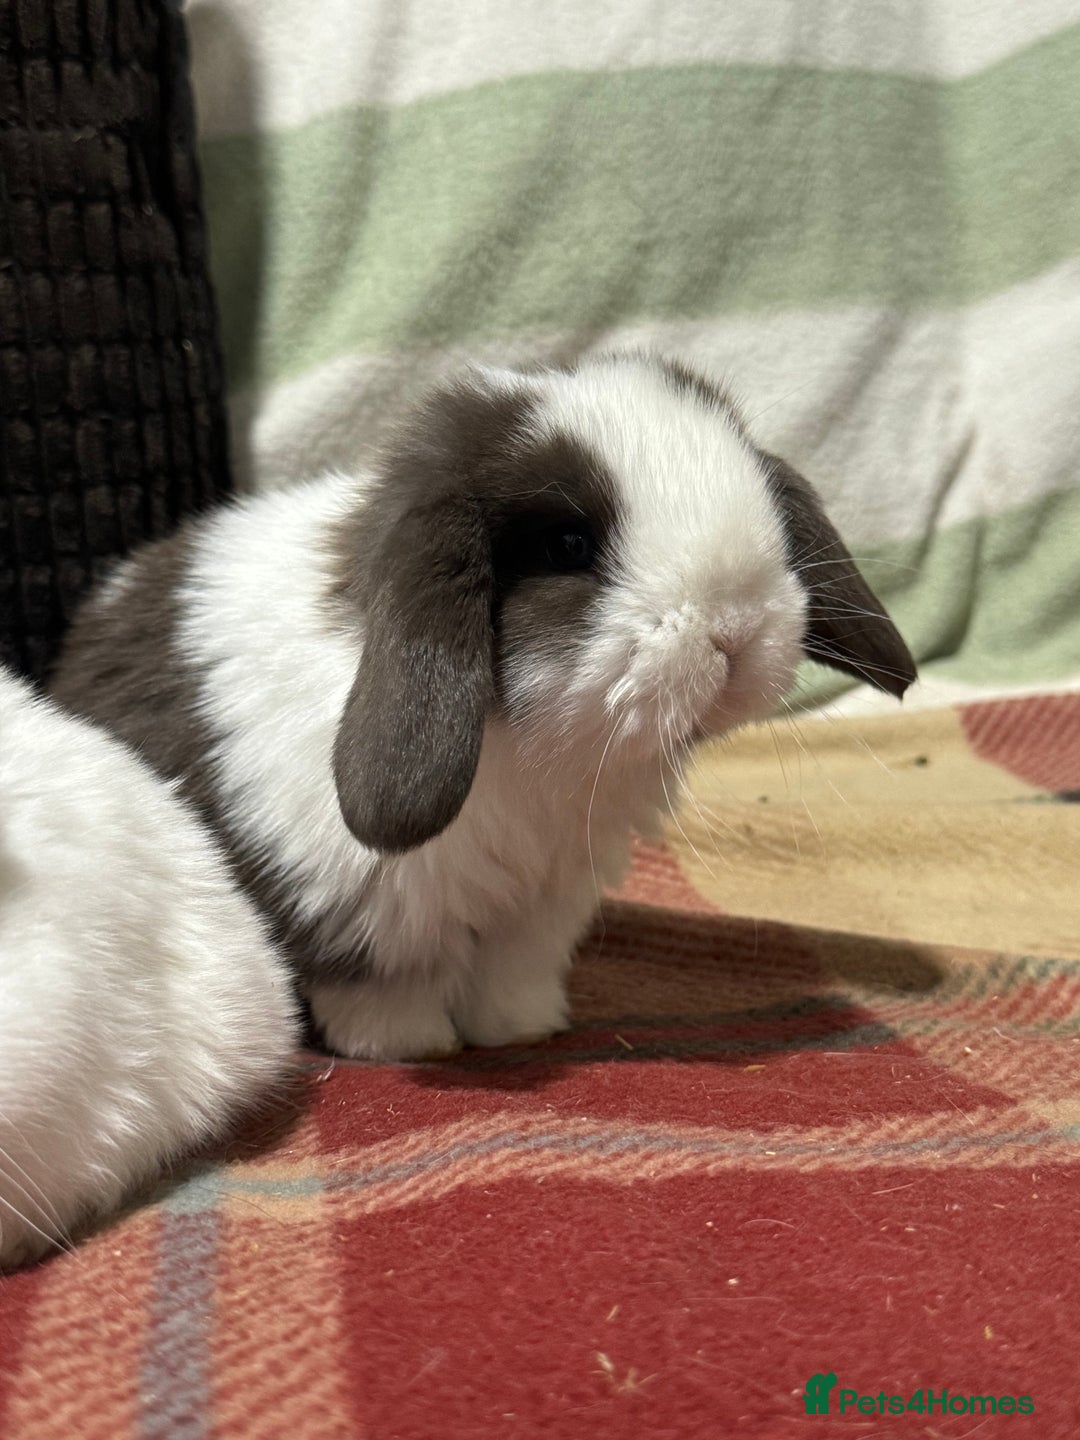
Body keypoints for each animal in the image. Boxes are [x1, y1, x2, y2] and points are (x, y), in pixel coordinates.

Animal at [50, 353, 916, 1064]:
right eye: (568, 546)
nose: (734, 628)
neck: (535, 756)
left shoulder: (541, 907)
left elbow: (513, 978)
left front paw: (525, 1030)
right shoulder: (366, 913)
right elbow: (381, 993)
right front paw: (412, 1048)